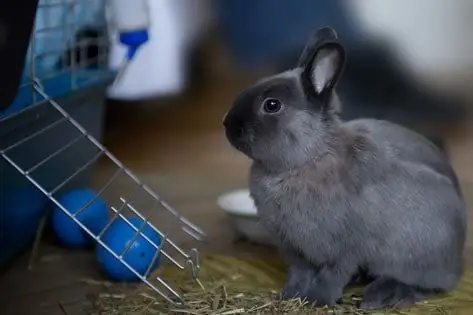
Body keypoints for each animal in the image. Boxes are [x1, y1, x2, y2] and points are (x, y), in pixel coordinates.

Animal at [221, 25, 464, 310]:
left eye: (272, 105)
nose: (228, 124)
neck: (309, 157)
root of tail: (458, 261)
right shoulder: (297, 251)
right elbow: (299, 273)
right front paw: (290, 295)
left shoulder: (342, 251)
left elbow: (332, 276)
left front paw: (318, 300)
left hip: (413, 256)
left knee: (427, 285)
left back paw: (381, 296)